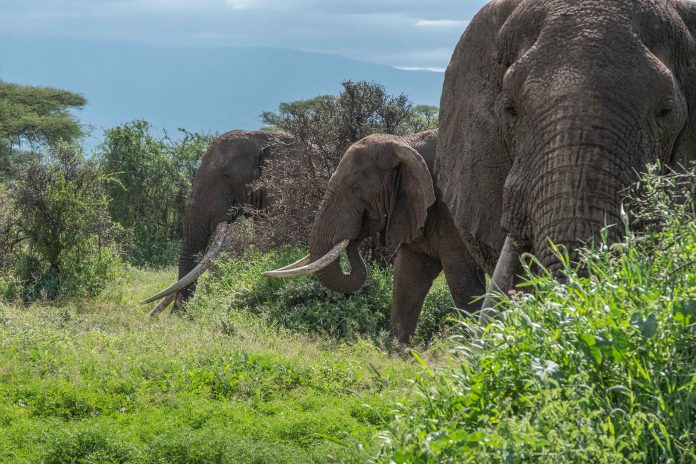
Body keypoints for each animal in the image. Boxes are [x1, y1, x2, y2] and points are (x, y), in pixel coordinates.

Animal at [264, 130, 486, 342]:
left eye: (356, 189)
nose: (354, 235)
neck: (405, 142)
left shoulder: (455, 212)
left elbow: (464, 285)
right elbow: (407, 278)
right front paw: (396, 349)